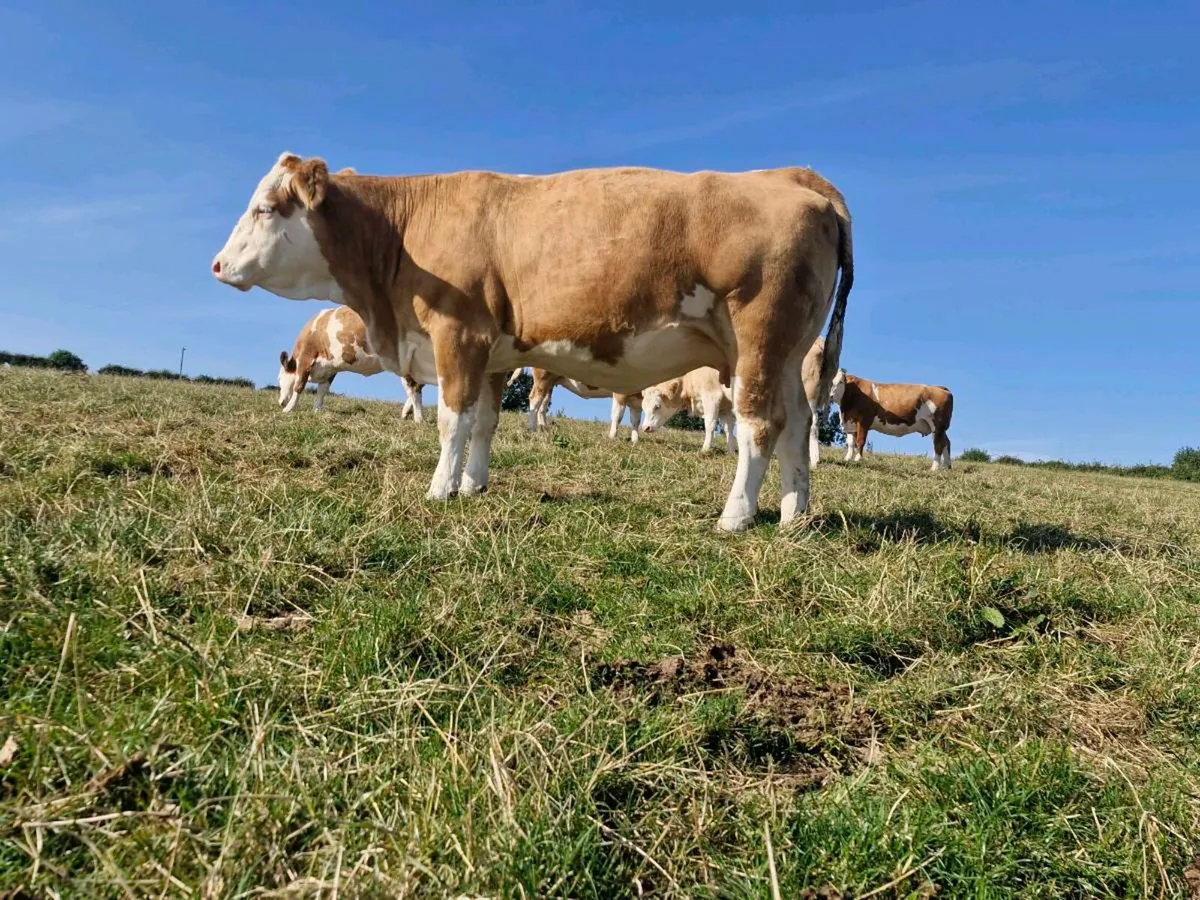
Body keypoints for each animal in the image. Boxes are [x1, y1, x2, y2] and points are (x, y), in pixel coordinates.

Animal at [278, 305, 425, 419]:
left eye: (279, 379)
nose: (280, 402)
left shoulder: (306, 357)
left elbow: (299, 385)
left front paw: (289, 409)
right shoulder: (330, 368)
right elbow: (322, 390)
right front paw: (316, 410)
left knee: (413, 387)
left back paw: (419, 418)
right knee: (418, 385)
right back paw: (407, 413)